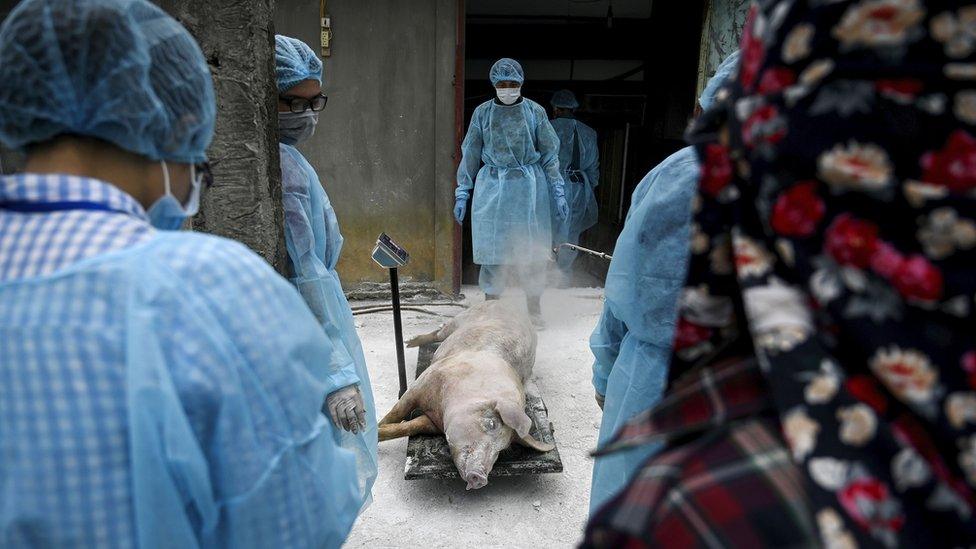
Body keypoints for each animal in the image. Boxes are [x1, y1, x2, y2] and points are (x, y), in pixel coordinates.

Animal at [378, 302, 552, 490]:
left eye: (503, 449)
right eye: (492, 423)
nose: (481, 477)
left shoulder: (434, 422)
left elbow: (410, 427)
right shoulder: (423, 382)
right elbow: (397, 411)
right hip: (459, 320)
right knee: (438, 332)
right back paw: (409, 342)